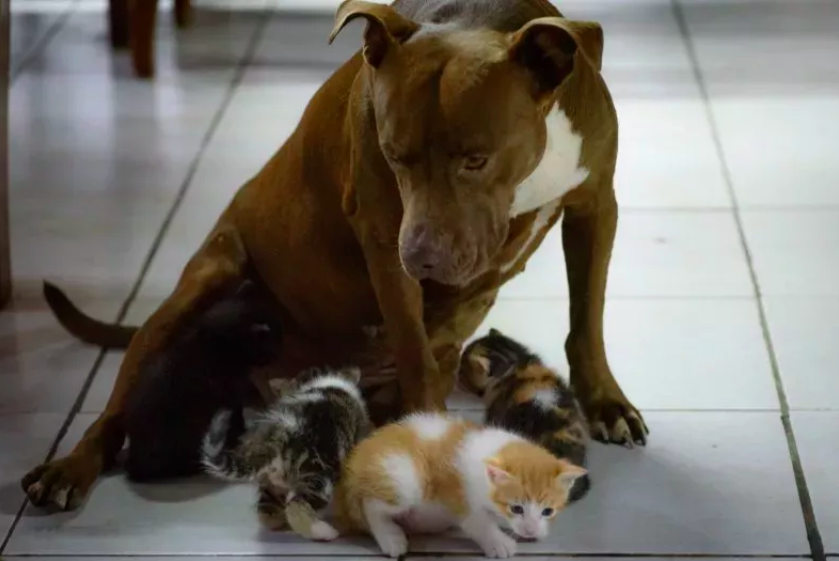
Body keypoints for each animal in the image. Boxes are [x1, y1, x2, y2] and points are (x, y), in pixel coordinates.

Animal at [123, 280, 282, 482]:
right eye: (274, 343)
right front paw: (240, 435)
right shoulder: (231, 394)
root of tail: (136, 462)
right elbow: (236, 418)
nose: (279, 351)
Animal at [200, 366, 370, 540]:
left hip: (271, 482)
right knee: (296, 507)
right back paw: (326, 532)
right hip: (320, 474)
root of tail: (279, 432)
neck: (319, 382)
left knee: (266, 512)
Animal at [334, 410, 584, 556]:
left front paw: (533, 531)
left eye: (548, 511)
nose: (531, 529)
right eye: (516, 508)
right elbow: (477, 521)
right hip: (403, 477)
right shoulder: (456, 491)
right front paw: (499, 543)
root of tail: (355, 462)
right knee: (371, 505)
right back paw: (390, 537)